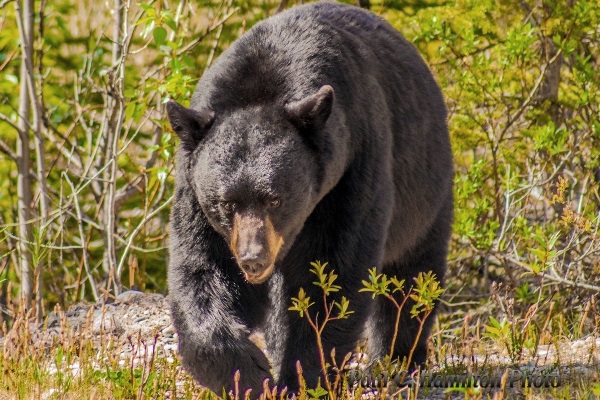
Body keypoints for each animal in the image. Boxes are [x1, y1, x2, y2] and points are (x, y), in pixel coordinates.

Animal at [166, 0, 452, 396]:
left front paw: (301, 378)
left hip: (424, 188)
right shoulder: (195, 193)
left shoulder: (350, 169)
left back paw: (395, 361)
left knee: (411, 278)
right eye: (226, 203)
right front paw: (249, 374)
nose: (253, 258)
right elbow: (202, 269)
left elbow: (332, 272)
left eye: (274, 199)